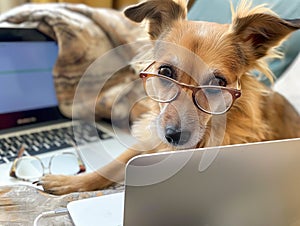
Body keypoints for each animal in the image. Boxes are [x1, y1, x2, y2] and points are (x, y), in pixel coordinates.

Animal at [37, 0, 300, 194]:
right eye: (165, 71)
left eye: (218, 83)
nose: (174, 136)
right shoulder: (150, 138)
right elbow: (112, 165)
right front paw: (68, 182)